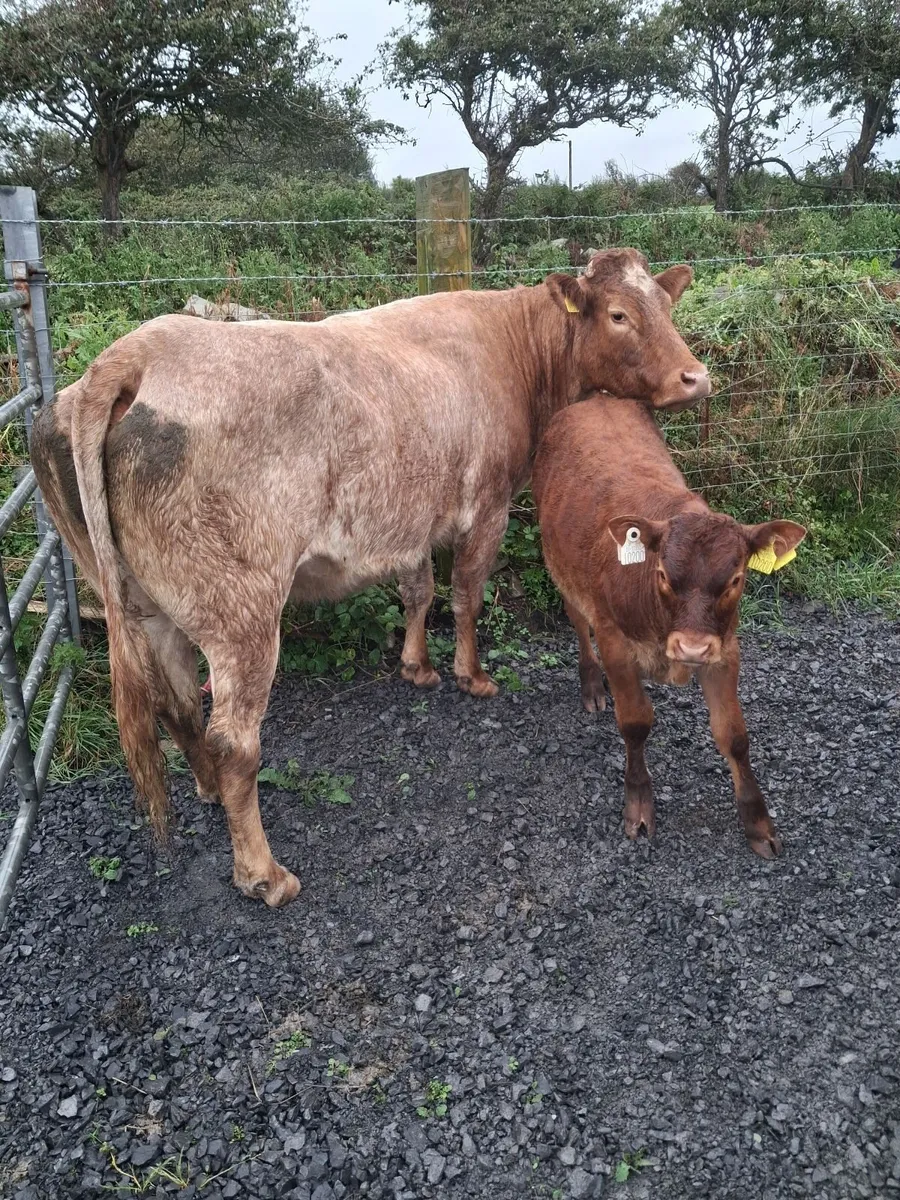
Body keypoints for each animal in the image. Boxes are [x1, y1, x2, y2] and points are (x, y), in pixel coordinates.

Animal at [32, 249, 709, 907]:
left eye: (666, 302)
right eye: (618, 314)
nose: (695, 377)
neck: (514, 348)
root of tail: (132, 353)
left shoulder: (409, 514)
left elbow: (418, 590)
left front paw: (417, 666)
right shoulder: (487, 505)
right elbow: (466, 595)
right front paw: (471, 676)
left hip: (146, 600)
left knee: (175, 704)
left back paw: (207, 790)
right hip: (241, 609)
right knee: (235, 742)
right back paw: (264, 874)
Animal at [533, 395, 806, 859]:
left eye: (736, 579)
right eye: (661, 574)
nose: (691, 649)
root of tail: (594, 400)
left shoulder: (724, 649)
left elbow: (734, 735)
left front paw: (758, 822)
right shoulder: (615, 641)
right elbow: (635, 723)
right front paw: (639, 806)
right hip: (561, 567)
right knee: (577, 619)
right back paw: (591, 684)